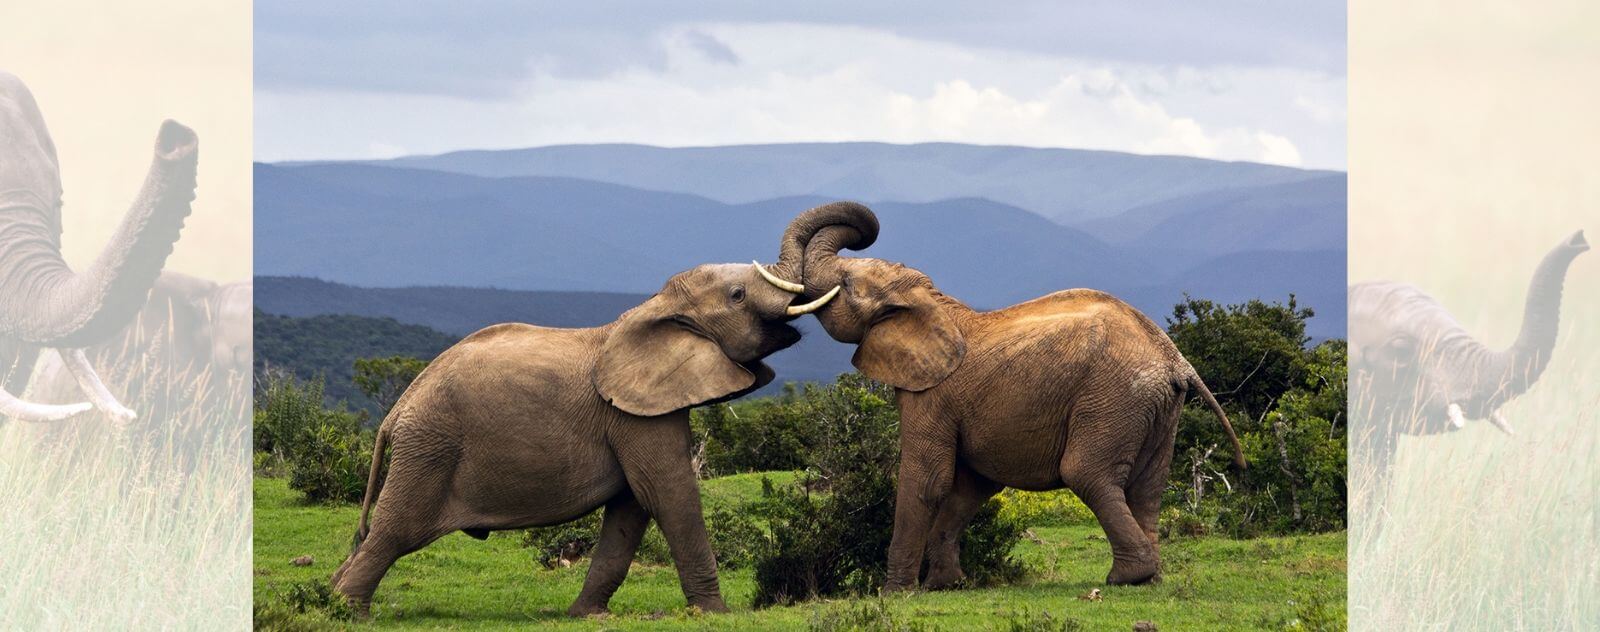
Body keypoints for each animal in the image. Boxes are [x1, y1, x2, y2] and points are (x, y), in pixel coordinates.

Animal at [332, 260, 844, 617]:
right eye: (737, 295)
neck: (653, 307)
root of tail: (397, 409)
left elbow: (630, 510)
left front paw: (585, 615)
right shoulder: (634, 414)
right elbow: (668, 495)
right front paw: (716, 614)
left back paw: (328, 598)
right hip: (431, 448)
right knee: (395, 532)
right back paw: (347, 612)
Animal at [768, 204, 1241, 592]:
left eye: (845, 284)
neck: (933, 303)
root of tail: (1175, 358)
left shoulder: (931, 395)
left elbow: (928, 481)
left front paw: (894, 593)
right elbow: (969, 487)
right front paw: (945, 585)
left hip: (1114, 397)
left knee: (1087, 473)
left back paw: (1126, 578)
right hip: (1157, 407)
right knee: (1147, 488)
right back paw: (1151, 578)